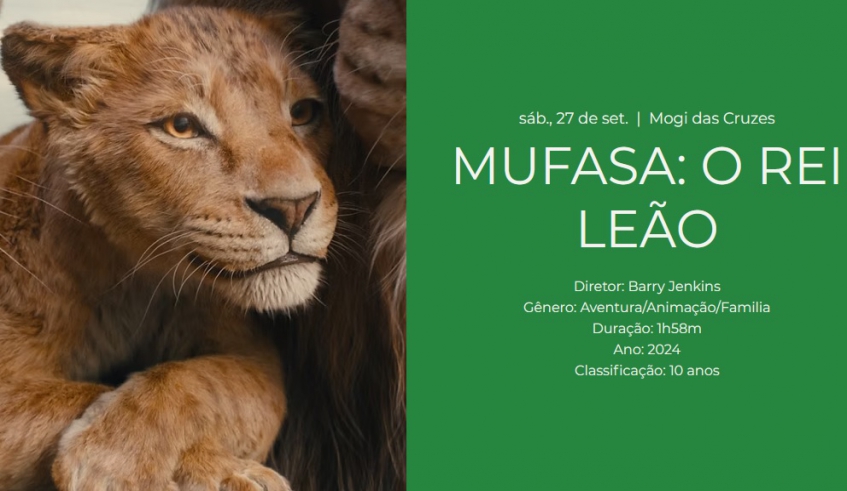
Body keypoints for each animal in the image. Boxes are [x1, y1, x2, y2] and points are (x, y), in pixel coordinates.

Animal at [0, 6, 336, 490]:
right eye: (181, 127)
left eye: (304, 112)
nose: (293, 208)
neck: (127, 282)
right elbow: (67, 396)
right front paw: (120, 461)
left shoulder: (248, 350)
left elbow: (213, 386)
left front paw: (118, 451)